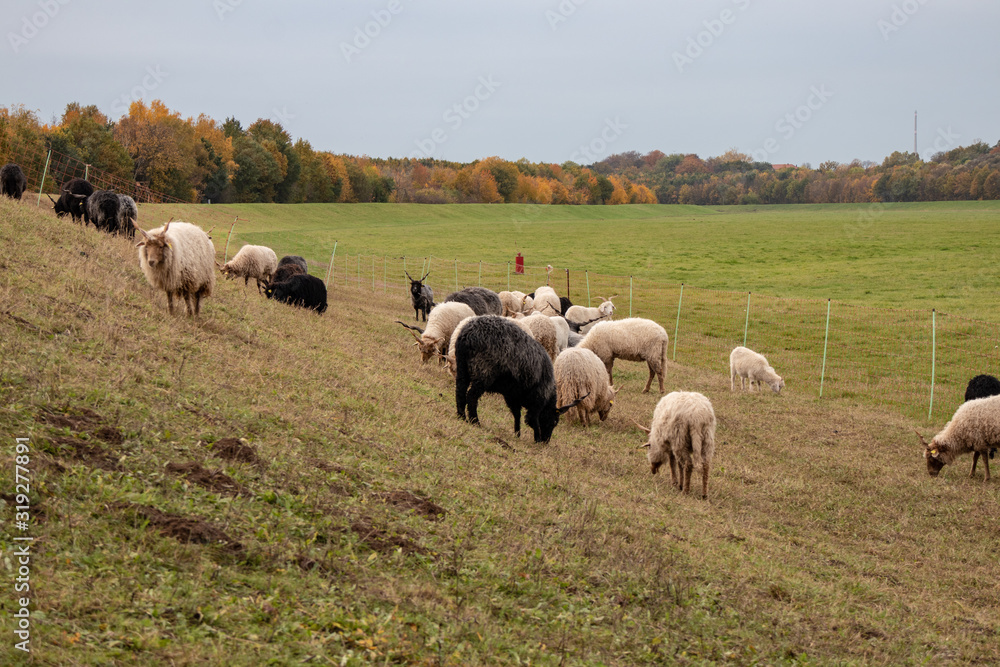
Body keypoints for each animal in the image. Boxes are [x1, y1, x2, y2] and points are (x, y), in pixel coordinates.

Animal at [456, 314, 584, 444]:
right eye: (554, 422)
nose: (546, 441)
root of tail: (468, 334)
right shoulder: (537, 400)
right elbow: (533, 420)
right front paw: (537, 439)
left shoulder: (512, 396)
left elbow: (517, 414)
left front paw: (517, 434)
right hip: (484, 371)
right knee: (471, 396)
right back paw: (475, 421)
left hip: (462, 367)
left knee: (460, 392)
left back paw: (462, 417)